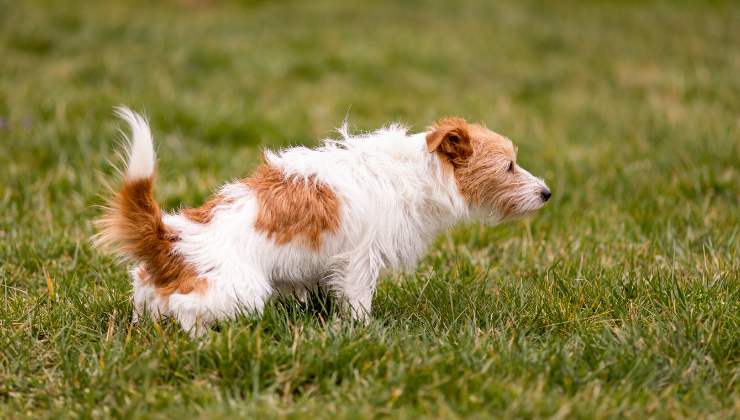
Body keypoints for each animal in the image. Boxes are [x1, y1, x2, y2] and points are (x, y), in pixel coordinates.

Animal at [95, 107, 548, 334]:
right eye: (509, 166)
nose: (546, 193)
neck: (417, 172)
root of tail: (170, 240)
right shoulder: (360, 260)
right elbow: (359, 303)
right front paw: (364, 333)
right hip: (241, 292)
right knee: (187, 309)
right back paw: (203, 340)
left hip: (149, 288)